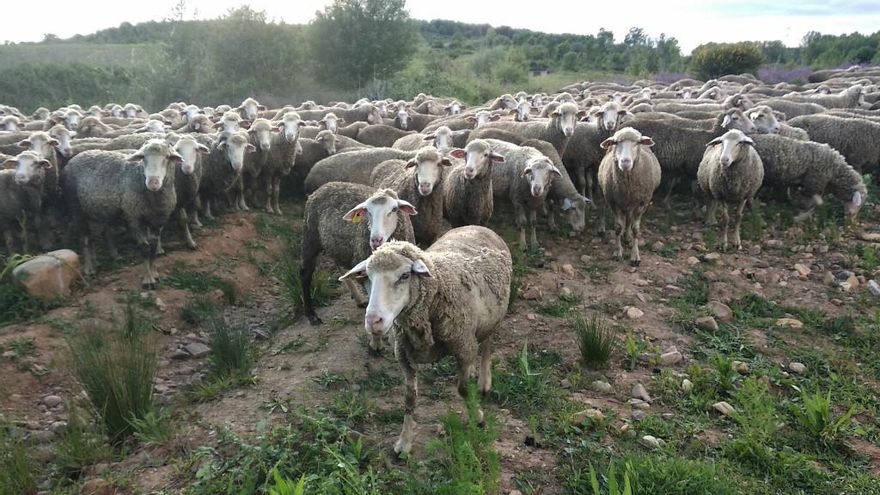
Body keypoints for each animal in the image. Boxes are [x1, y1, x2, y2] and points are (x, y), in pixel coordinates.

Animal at [62, 140, 184, 288]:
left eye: (167, 157)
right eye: (143, 157)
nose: (153, 183)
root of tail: (78, 155)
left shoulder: (157, 220)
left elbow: (153, 248)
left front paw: (154, 273)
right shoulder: (133, 217)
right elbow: (145, 248)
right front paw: (148, 279)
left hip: (95, 210)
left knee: (92, 237)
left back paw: (97, 261)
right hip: (76, 207)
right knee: (85, 238)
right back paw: (89, 269)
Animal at [300, 182, 418, 326]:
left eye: (394, 209)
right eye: (367, 211)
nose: (375, 240)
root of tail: (325, 186)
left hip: (338, 245)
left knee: (340, 266)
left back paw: (359, 300)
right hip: (310, 236)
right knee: (305, 274)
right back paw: (311, 315)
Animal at [338, 227, 516, 456]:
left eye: (405, 275)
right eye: (368, 277)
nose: (373, 321)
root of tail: (477, 227)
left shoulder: (464, 347)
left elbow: (463, 389)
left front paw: (478, 417)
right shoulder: (404, 355)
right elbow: (409, 399)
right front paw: (404, 443)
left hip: (493, 318)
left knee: (487, 344)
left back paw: (484, 382)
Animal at [600, 128, 660, 268]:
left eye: (637, 143)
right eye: (615, 142)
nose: (625, 162)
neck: (627, 185)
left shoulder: (642, 203)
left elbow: (636, 229)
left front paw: (635, 255)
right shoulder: (614, 202)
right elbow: (618, 228)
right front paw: (618, 252)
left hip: (631, 203)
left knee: (628, 219)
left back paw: (627, 237)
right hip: (611, 197)